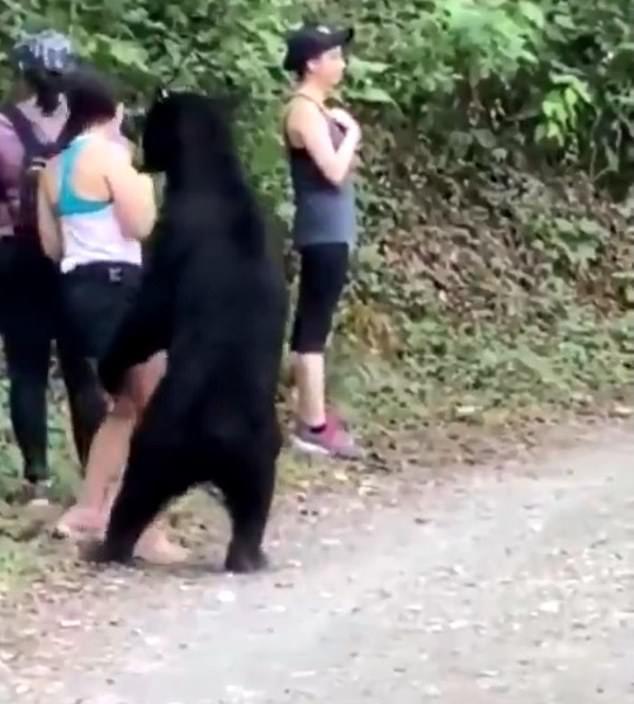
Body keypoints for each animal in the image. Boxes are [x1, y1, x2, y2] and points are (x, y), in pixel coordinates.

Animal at [86, 89, 288, 573]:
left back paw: (107, 548)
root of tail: (220, 437)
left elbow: (150, 315)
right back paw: (249, 555)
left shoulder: (174, 232)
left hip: (163, 438)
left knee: (137, 489)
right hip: (260, 452)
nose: (135, 135)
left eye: (151, 124)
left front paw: (110, 366)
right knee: (254, 504)